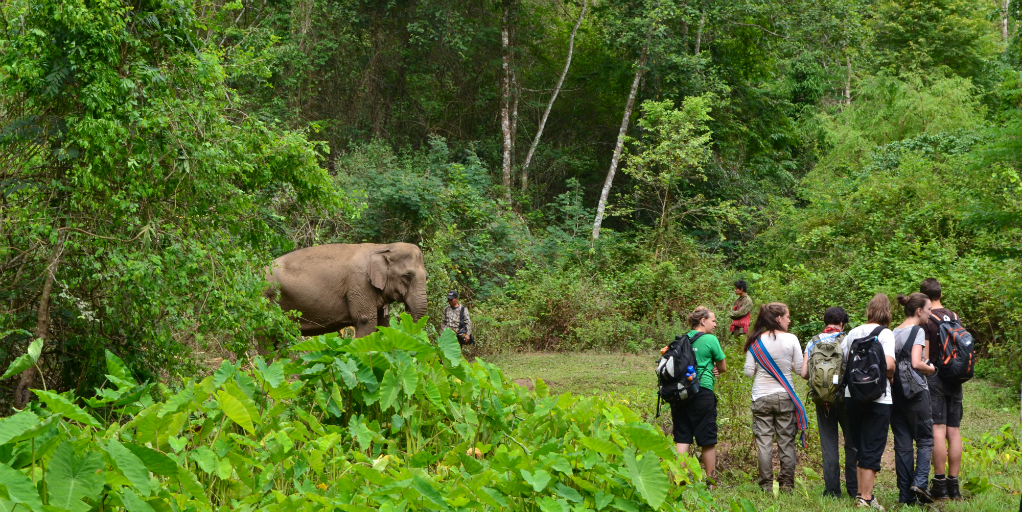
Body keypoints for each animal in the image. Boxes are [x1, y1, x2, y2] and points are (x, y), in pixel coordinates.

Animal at [266, 241, 425, 337]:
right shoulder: (359, 285)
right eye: (407, 276)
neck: (382, 247)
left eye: (427, 276)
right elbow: (365, 321)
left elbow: (383, 324)